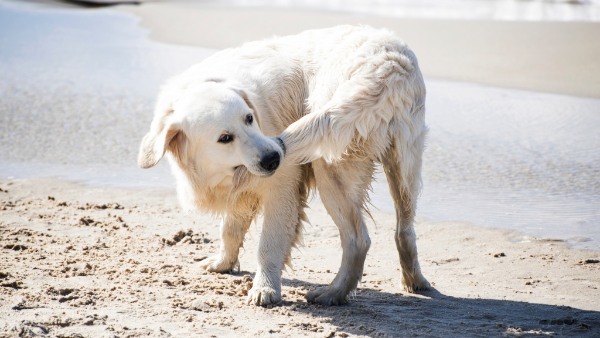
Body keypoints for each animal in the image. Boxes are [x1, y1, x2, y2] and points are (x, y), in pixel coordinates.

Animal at [139, 25, 432, 306]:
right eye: (224, 138)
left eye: (249, 118)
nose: (274, 157)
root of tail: (388, 65)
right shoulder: (241, 190)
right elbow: (230, 229)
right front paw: (222, 263)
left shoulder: (282, 186)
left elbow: (268, 244)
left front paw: (265, 289)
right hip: (404, 166)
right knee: (405, 230)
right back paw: (415, 281)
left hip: (330, 166)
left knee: (358, 240)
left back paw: (332, 293)